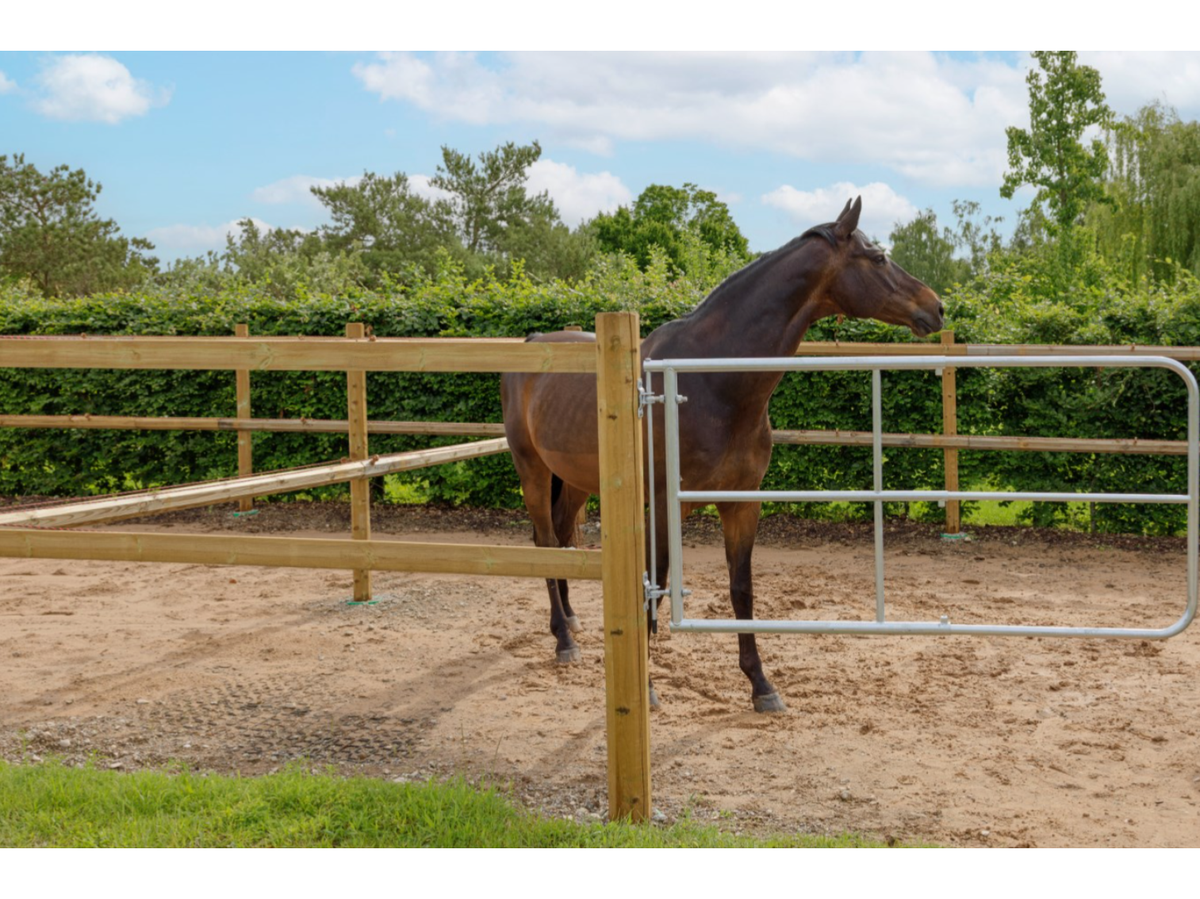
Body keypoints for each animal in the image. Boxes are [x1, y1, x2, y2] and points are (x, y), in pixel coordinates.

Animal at [500, 197, 944, 713]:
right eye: (878, 258)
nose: (937, 306)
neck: (710, 382)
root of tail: (531, 344)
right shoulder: (662, 507)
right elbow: (655, 586)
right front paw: (647, 687)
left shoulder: (741, 502)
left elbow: (741, 590)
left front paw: (761, 685)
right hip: (531, 469)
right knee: (545, 539)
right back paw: (563, 640)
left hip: (575, 480)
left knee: (564, 538)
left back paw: (572, 619)